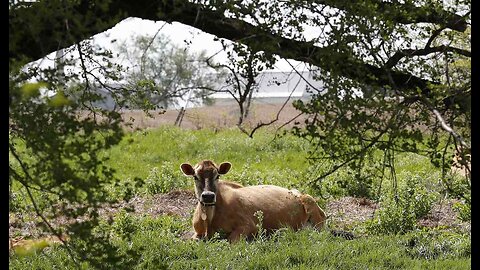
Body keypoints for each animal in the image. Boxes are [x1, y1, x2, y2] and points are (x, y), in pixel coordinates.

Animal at [180, 160, 326, 243]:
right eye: (195, 176)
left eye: (217, 176)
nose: (208, 196)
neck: (209, 222)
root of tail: (298, 192)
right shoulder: (197, 232)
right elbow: (193, 240)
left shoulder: (249, 225)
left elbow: (230, 240)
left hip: (311, 204)